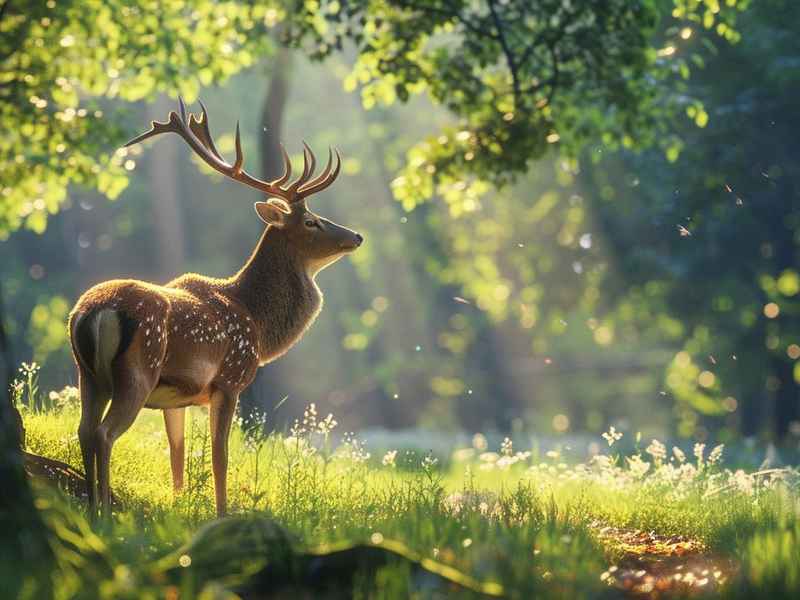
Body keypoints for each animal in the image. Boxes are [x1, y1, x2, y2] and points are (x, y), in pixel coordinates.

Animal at [68, 99, 363, 517]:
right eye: (311, 221)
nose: (356, 236)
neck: (257, 322)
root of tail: (92, 313)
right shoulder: (229, 380)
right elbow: (220, 456)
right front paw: (222, 514)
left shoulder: (175, 398)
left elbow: (176, 454)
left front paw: (178, 506)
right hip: (137, 372)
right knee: (104, 433)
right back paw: (106, 511)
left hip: (88, 375)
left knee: (83, 429)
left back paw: (92, 506)